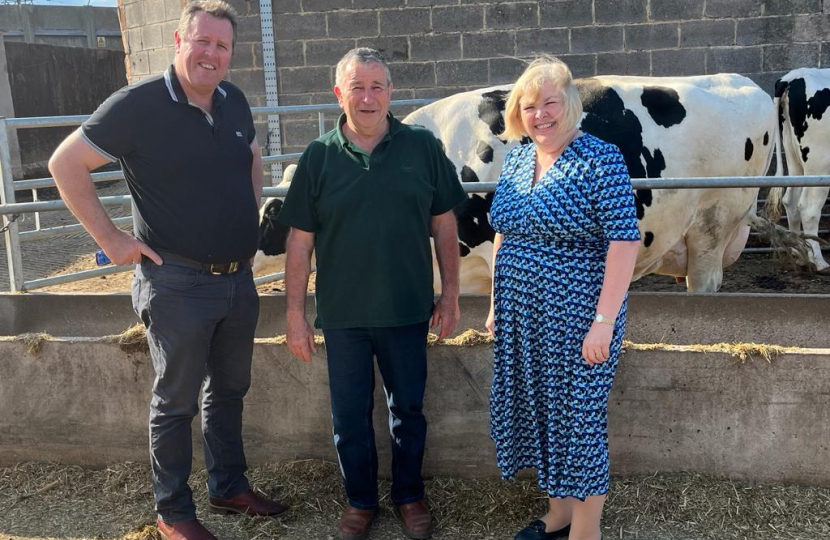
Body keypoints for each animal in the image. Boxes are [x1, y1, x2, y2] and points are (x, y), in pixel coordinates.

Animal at [772, 69, 828, 272]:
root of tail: (792, 77)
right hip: (820, 161)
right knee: (808, 208)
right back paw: (819, 262)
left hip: (792, 153)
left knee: (790, 200)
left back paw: (800, 254)